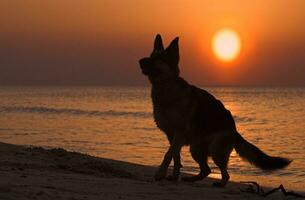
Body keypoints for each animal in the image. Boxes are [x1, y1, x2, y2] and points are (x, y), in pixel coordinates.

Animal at [138, 34, 290, 188]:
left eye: (159, 58)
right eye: (151, 56)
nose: (140, 61)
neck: (166, 88)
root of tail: (234, 129)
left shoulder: (178, 135)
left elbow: (168, 155)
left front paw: (160, 174)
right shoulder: (171, 136)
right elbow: (176, 157)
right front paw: (174, 176)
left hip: (215, 151)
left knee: (225, 173)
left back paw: (220, 183)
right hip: (195, 149)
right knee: (206, 170)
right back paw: (191, 179)